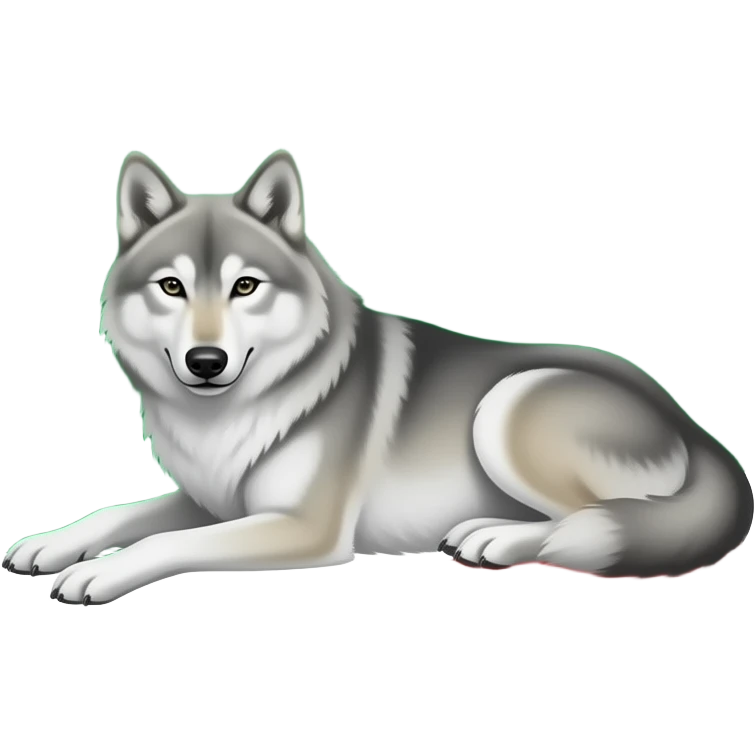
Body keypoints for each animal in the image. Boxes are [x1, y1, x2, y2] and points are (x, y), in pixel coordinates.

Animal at [3, 148, 752, 604]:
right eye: (171, 286)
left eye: (245, 285)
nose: (206, 362)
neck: (230, 416)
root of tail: (695, 428)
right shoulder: (218, 497)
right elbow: (125, 511)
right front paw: (48, 545)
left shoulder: (301, 526)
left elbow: (163, 539)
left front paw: (98, 573)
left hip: (505, 406)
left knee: (592, 523)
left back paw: (493, 538)